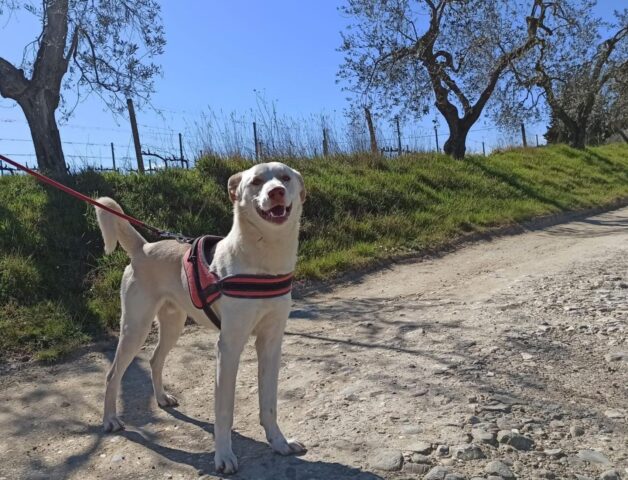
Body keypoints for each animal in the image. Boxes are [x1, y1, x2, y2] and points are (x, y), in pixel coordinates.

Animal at [93, 160, 306, 472]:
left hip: (172, 325)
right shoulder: (228, 348)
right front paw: (224, 456)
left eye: (285, 177)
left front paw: (279, 442)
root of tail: (144, 248)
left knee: (155, 360)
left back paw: (161, 398)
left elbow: (269, 403)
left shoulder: (271, 344)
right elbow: (224, 409)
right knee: (112, 374)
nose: (276, 192)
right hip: (135, 328)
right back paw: (109, 419)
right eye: (256, 181)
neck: (264, 257)